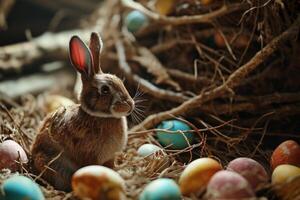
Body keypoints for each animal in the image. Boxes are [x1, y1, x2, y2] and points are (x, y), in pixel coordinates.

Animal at [31, 32, 134, 191]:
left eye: (120, 81)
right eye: (105, 90)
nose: (130, 105)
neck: (98, 116)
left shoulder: (110, 157)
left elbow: (111, 166)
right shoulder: (91, 156)